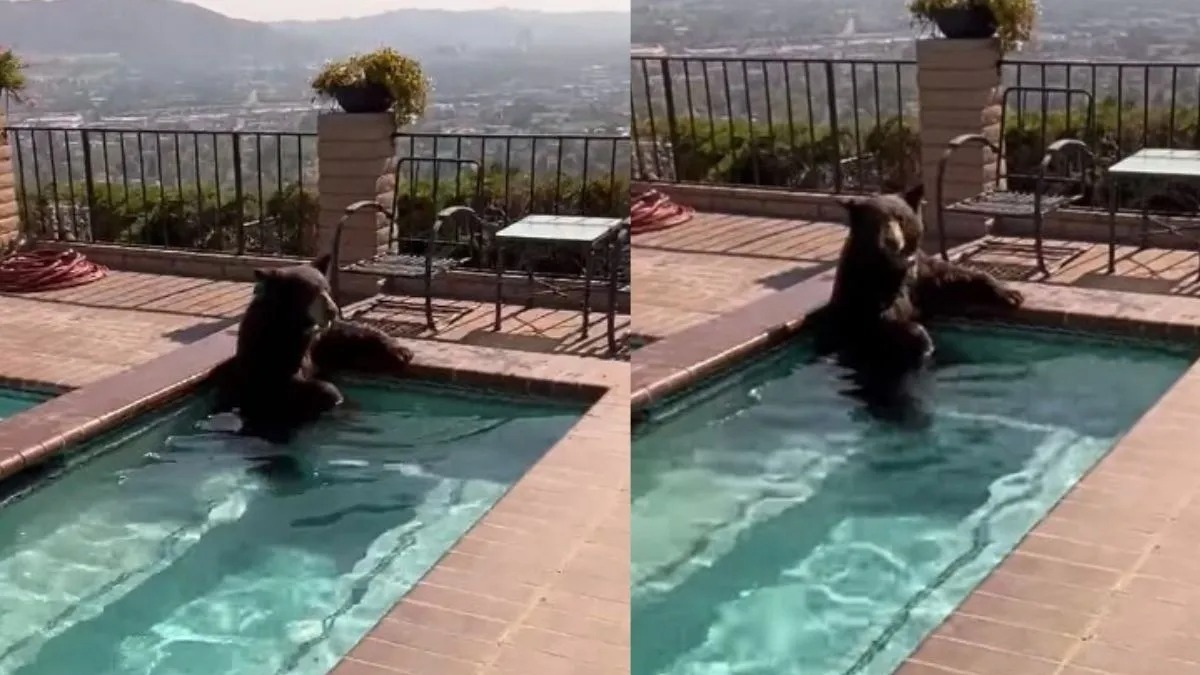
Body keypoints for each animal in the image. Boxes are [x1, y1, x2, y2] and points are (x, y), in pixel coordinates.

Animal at [207, 252, 412, 441]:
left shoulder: (316, 340)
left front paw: (400, 351)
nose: (332, 310)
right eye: (308, 292)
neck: (293, 327)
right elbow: (285, 386)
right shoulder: (268, 353)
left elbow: (340, 335)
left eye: (326, 288)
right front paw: (332, 395)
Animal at [806, 181, 1022, 417]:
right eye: (876, 222)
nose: (892, 240)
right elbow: (879, 321)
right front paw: (922, 340)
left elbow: (951, 277)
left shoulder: (919, 274)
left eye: (900, 217)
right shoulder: (865, 290)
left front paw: (1011, 294)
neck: (892, 267)